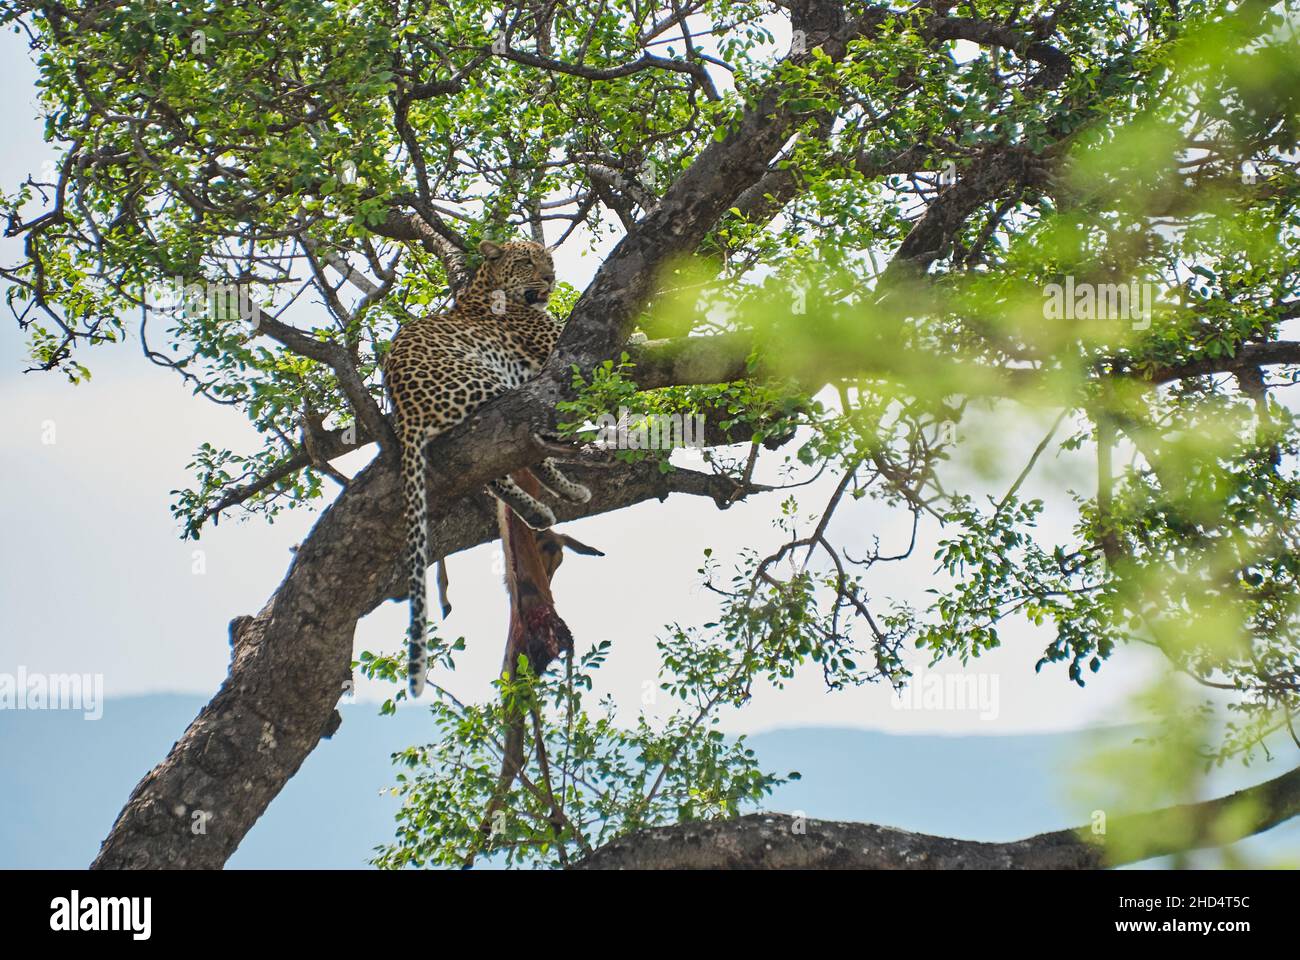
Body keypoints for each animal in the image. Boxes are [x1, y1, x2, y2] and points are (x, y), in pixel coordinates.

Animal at [382, 235, 592, 692]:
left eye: (548, 260)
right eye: (528, 261)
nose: (551, 277)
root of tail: (404, 408)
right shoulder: (555, 342)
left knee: (495, 469)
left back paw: (546, 505)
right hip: (490, 383)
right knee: (522, 448)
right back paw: (562, 489)